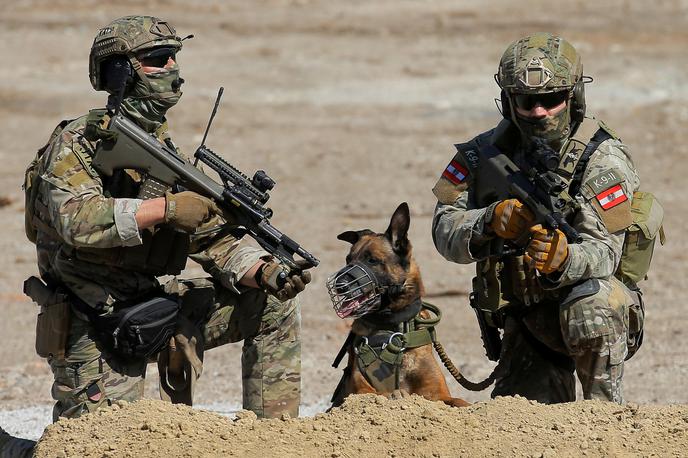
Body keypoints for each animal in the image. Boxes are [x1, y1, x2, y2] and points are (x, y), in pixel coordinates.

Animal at [326, 203, 468, 408]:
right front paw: (397, 395)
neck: (392, 328)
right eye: (348, 259)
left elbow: (459, 401)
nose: (339, 285)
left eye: (372, 260)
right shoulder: (360, 391)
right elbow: (379, 395)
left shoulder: (438, 394)